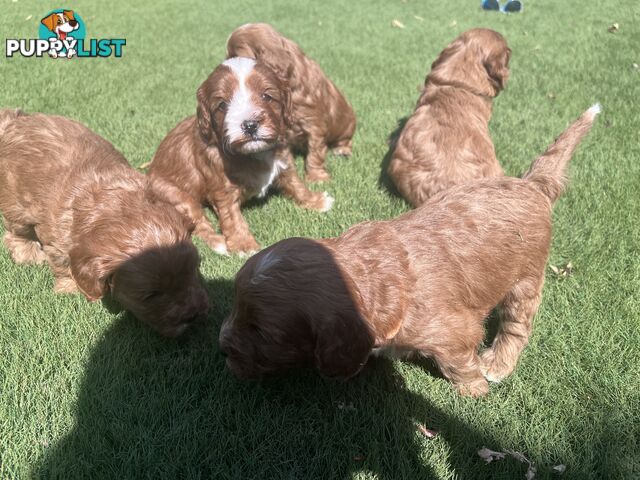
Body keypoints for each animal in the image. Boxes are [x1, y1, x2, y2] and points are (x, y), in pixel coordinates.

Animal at [0, 110, 208, 340]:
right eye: (151, 295)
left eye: (193, 271)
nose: (193, 315)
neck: (115, 207)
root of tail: (14, 120)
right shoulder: (59, 242)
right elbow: (64, 267)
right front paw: (71, 289)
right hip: (16, 205)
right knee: (16, 232)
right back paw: (28, 254)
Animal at [148, 58, 332, 256]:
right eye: (222, 105)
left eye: (267, 96)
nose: (250, 125)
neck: (253, 153)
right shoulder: (222, 187)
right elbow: (232, 216)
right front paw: (244, 245)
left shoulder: (283, 160)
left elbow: (296, 184)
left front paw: (316, 201)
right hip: (174, 196)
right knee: (197, 221)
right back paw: (218, 242)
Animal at [220, 103, 600, 396]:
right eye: (235, 305)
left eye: (262, 332)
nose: (222, 346)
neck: (367, 276)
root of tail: (530, 183)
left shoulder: (454, 332)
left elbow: (458, 361)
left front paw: (474, 389)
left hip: (526, 279)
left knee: (516, 325)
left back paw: (497, 364)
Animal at [225, 22, 358, 184]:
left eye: (236, 56)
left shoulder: (314, 124)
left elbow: (315, 152)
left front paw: (316, 177)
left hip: (347, 124)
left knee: (345, 140)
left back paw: (342, 150)